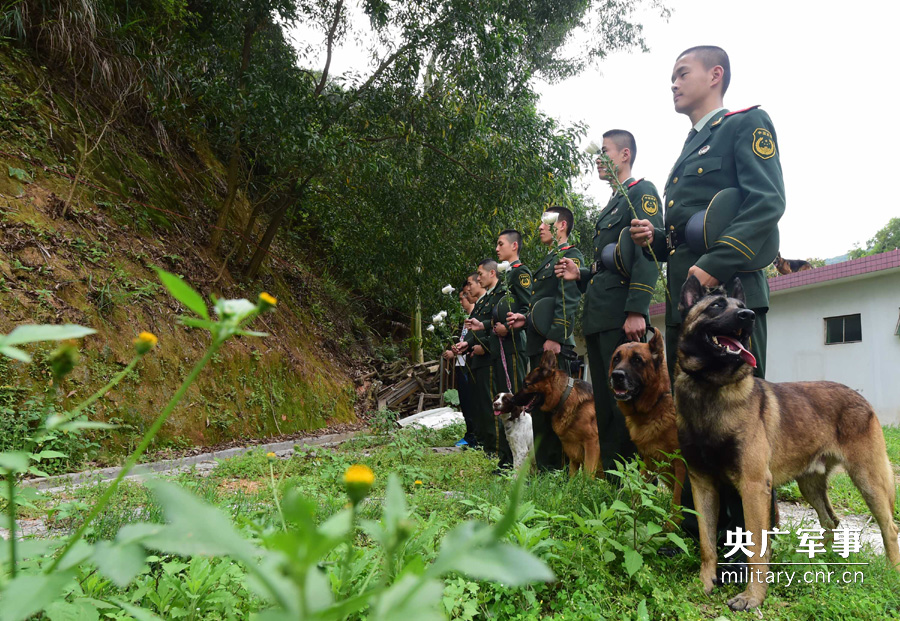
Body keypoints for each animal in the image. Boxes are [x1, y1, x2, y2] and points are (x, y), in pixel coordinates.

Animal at [608, 326, 684, 512]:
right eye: (616, 359)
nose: (616, 376)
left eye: (637, 360)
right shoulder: (648, 462)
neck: (655, 405)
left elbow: (676, 503)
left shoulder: (681, 465)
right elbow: (637, 490)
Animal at [680, 276, 896, 612]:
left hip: (868, 480)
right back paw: (821, 559)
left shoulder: (754, 485)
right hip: (810, 485)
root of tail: (858, 395)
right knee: (831, 521)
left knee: (890, 528)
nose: (748, 316)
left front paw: (753, 597)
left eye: (741, 306)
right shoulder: (702, 483)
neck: (710, 386)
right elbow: (706, 541)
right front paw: (705, 582)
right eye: (716, 305)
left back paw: (891, 572)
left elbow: (757, 546)